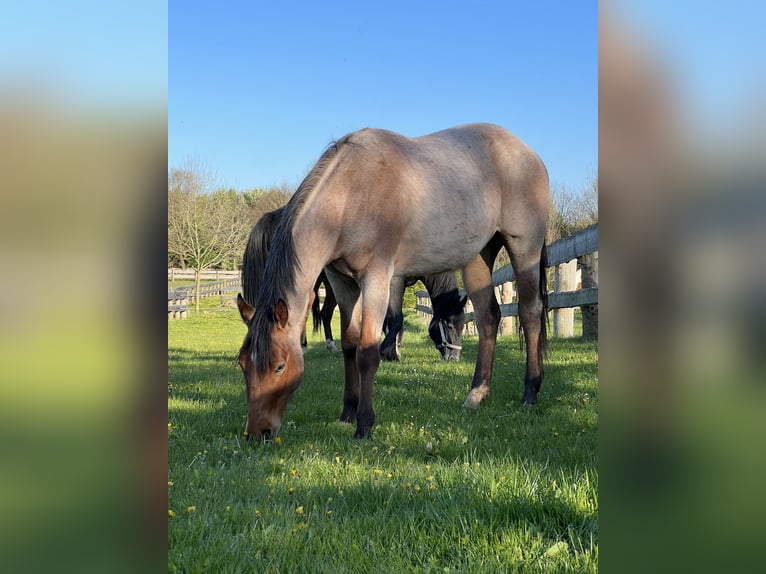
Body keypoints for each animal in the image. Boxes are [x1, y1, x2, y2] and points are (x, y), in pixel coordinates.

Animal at [242, 206, 466, 359]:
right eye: (449, 325)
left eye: (462, 324)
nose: (453, 357)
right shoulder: (393, 282)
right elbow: (395, 318)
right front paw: (391, 352)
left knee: (321, 313)